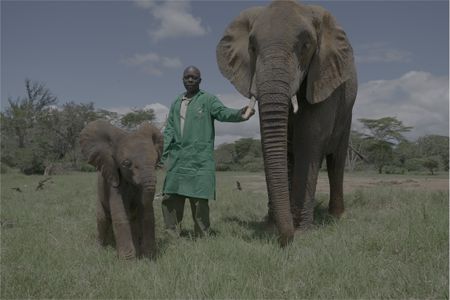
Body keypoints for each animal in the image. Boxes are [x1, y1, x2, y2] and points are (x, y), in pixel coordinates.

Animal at [79, 120, 163, 258]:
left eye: (156, 160)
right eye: (126, 163)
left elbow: (147, 215)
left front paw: (148, 257)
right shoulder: (113, 180)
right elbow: (120, 215)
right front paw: (128, 260)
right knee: (102, 218)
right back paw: (100, 249)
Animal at [216, 0, 356, 246]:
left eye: (306, 46)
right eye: (252, 47)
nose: (284, 240)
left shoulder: (322, 77)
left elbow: (308, 141)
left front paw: (301, 231)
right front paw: (271, 226)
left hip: (346, 110)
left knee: (336, 161)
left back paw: (336, 216)